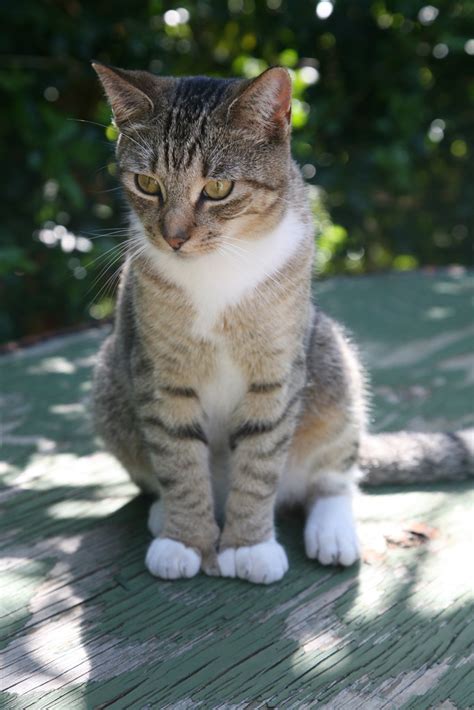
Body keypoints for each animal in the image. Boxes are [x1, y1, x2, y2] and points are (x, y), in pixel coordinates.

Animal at [90, 62, 472, 584]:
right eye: (147, 183)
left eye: (217, 189)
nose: (173, 237)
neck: (219, 268)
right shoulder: (160, 374)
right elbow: (179, 462)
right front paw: (184, 539)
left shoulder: (277, 372)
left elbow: (260, 463)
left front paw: (249, 546)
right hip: (110, 381)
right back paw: (164, 513)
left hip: (332, 359)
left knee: (335, 476)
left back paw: (332, 530)